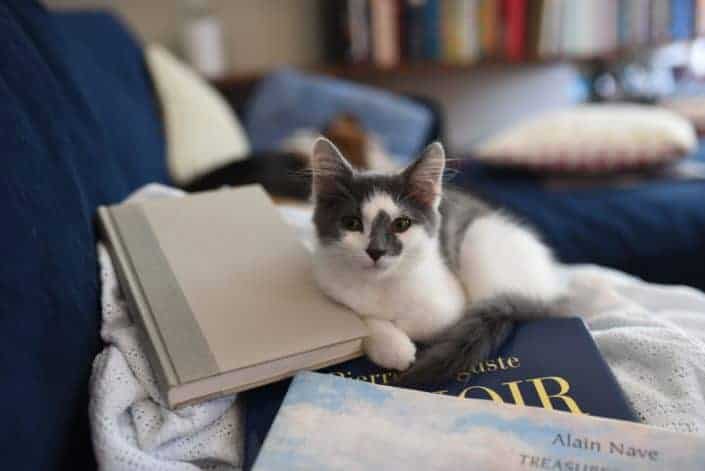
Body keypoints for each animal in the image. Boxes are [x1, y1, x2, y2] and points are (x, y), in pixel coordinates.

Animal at [308, 137, 560, 388]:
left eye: (401, 224)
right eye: (352, 223)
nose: (376, 251)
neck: (381, 283)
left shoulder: (450, 304)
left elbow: (424, 322)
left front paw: (400, 341)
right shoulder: (325, 280)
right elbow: (360, 314)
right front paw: (392, 345)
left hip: (479, 241)